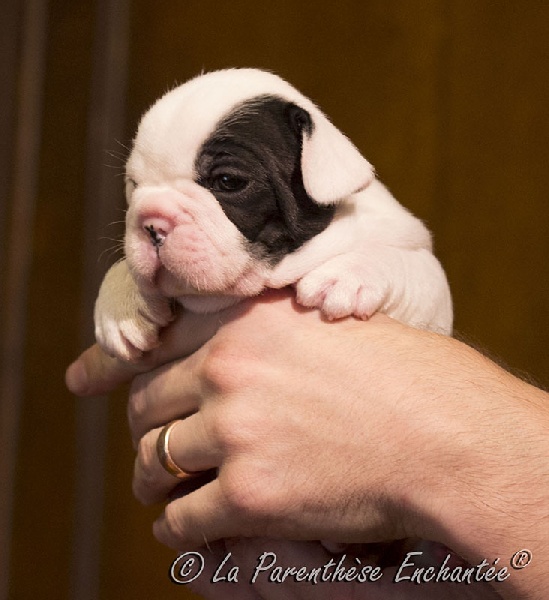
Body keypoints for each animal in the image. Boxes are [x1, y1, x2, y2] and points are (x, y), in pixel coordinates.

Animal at [94, 68, 452, 361]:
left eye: (228, 181)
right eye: (135, 185)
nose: (151, 223)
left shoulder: (428, 292)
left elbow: (413, 265)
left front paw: (349, 274)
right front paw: (120, 303)